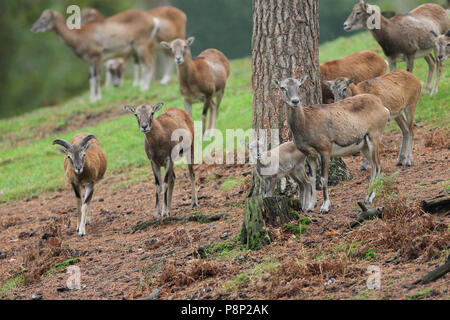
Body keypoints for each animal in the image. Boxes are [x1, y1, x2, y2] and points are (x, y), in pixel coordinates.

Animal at [272, 76, 388, 214]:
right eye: (282, 87)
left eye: (299, 85)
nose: (295, 101)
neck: (306, 123)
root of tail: (383, 107)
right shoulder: (309, 154)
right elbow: (312, 179)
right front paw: (310, 207)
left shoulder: (325, 149)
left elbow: (323, 177)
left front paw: (325, 207)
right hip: (364, 145)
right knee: (374, 166)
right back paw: (367, 197)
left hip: (374, 136)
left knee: (378, 165)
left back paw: (370, 198)